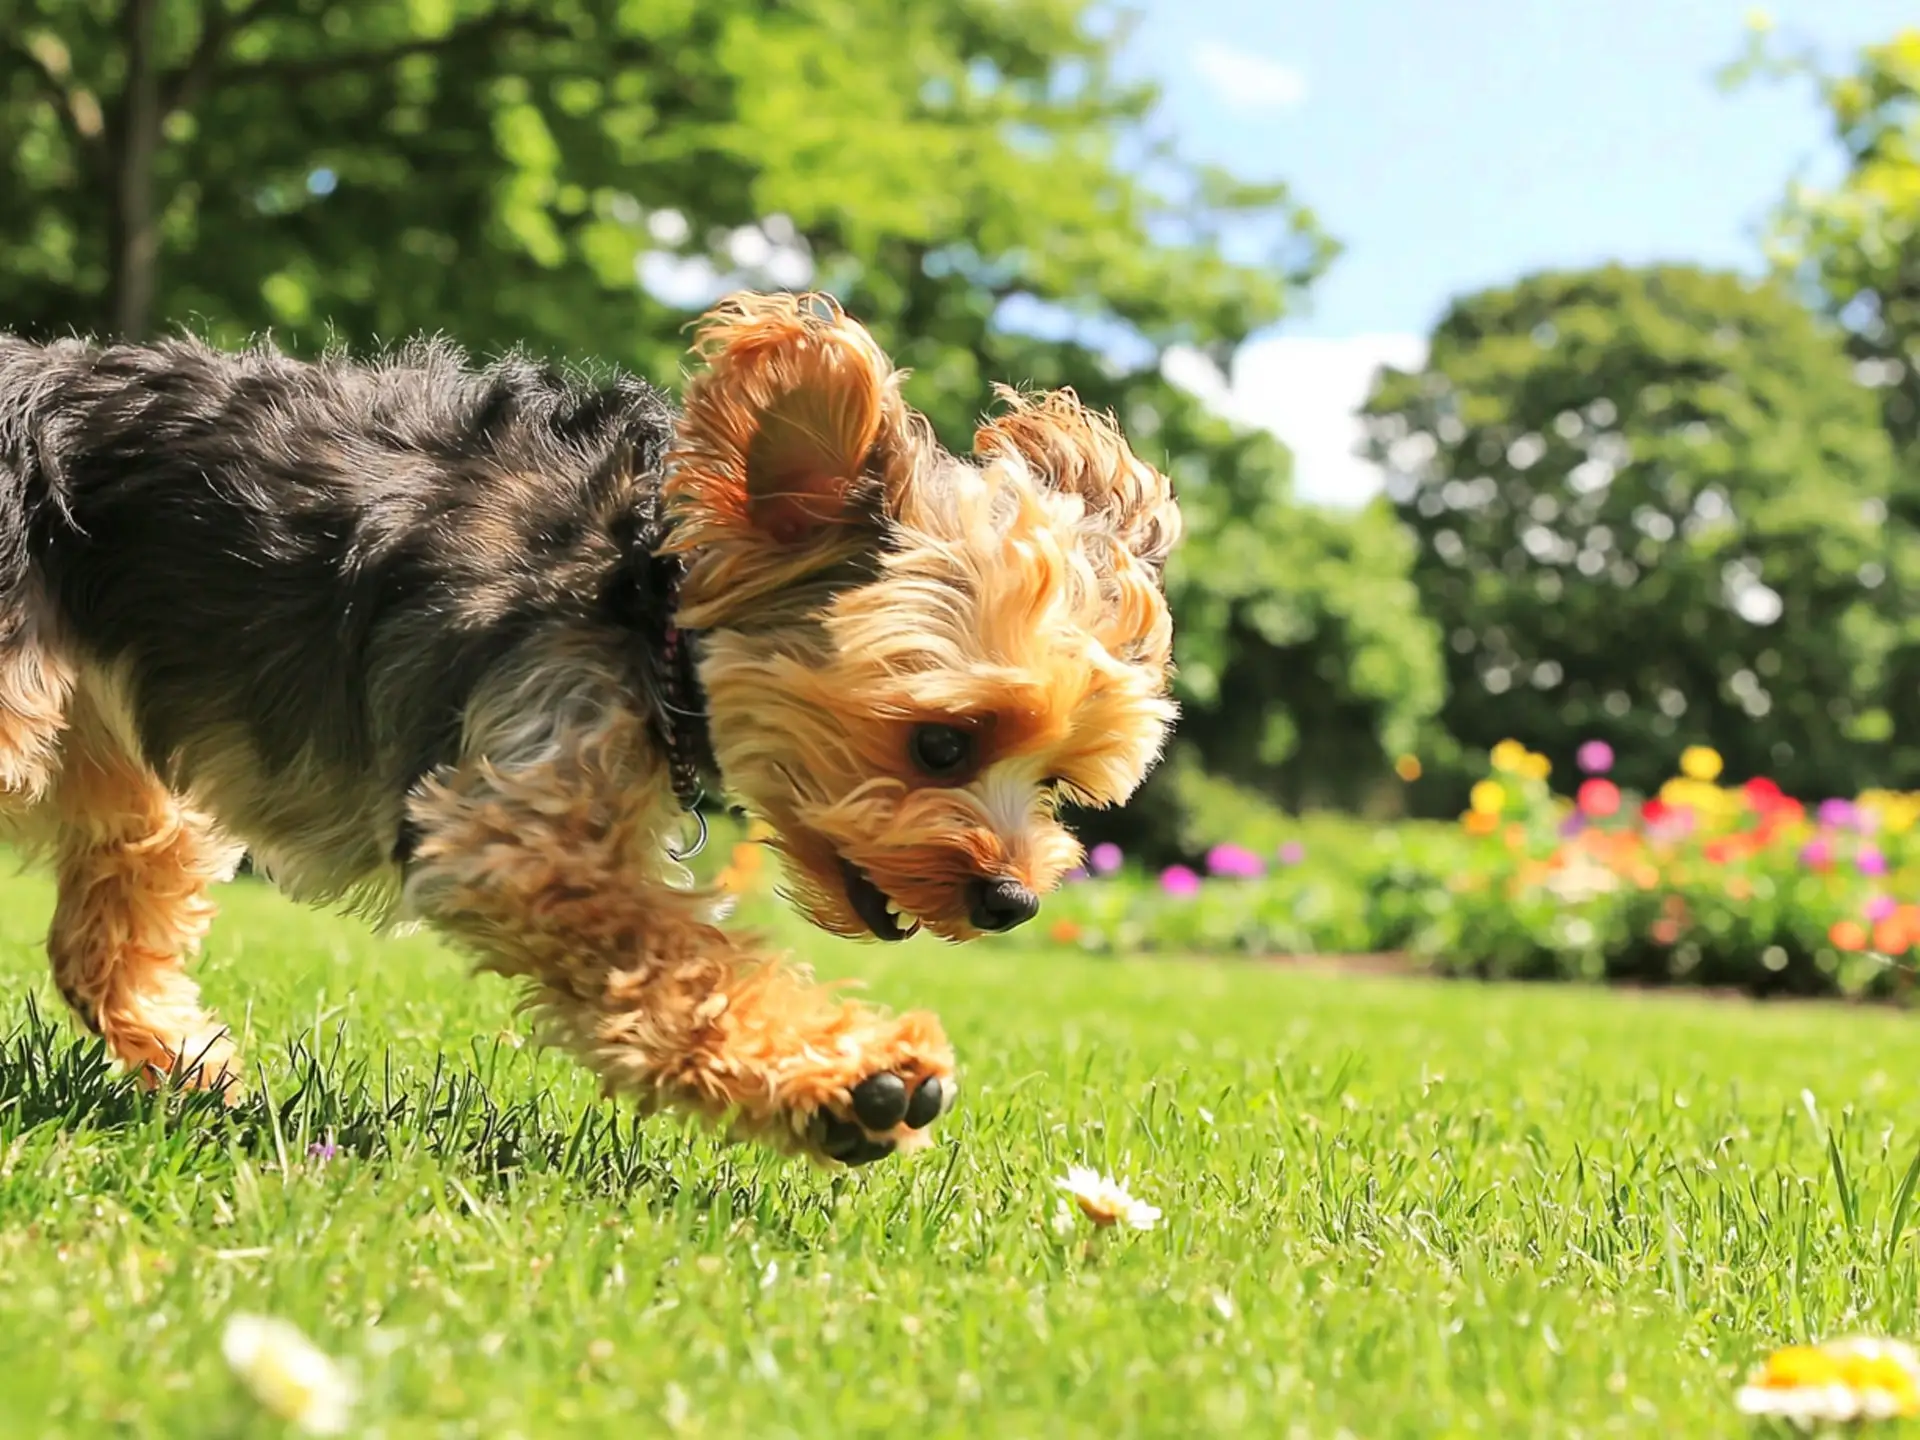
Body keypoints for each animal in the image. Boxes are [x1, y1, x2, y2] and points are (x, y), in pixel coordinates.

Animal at [0, 299, 1182, 1167]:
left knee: (106, 921)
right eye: (942, 744)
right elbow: (678, 959)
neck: (644, 598)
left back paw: (190, 1066)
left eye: (1062, 783)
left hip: (112, 732)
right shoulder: (515, 826)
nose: (1013, 902)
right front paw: (853, 1081)